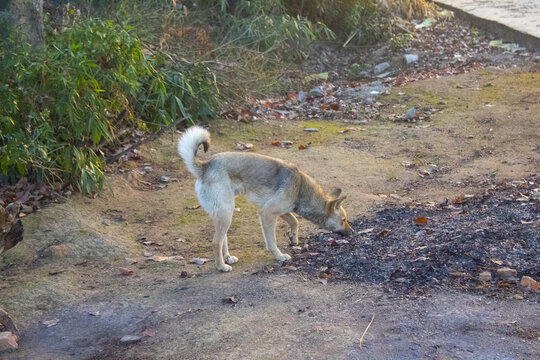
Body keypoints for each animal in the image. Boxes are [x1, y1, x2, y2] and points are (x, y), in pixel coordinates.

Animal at [178, 128, 354, 272]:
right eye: (344, 220)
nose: (353, 232)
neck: (300, 188)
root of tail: (205, 166)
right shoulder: (267, 213)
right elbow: (272, 241)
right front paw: (279, 256)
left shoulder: (281, 211)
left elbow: (295, 221)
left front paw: (293, 237)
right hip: (226, 212)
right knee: (216, 242)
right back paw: (221, 266)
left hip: (225, 213)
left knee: (222, 240)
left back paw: (227, 258)